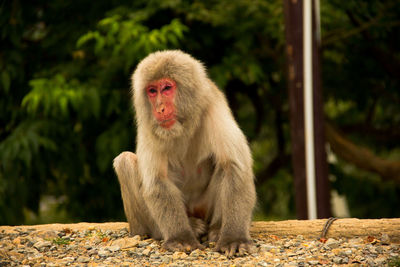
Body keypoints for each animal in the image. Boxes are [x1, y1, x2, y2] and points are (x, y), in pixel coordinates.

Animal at [112, 50, 256, 258]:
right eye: (152, 91)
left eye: (166, 88)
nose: (159, 108)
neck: (184, 124)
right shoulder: (149, 123)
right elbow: (158, 180)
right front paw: (181, 237)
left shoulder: (212, 106)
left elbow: (233, 166)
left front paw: (233, 238)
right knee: (125, 160)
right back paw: (184, 228)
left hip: (205, 207)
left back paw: (217, 228)